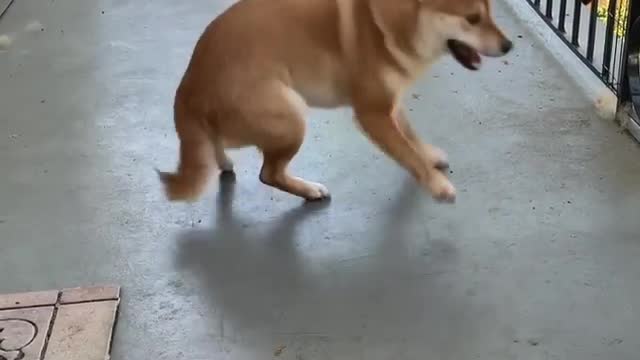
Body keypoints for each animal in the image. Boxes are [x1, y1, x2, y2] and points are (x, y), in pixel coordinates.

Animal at [160, 0, 516, 202]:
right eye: (473, 18)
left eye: (490, 13)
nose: (509, 45)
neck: (395, 20)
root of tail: (188, 88)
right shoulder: (372, 113)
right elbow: (406, 153)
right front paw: (436, 185)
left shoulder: (390, 101)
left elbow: (409, 134)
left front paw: (428, 155)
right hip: (290, 115)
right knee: (269, 174)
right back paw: (308, 191)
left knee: (221, 144)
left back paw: (222, 159)